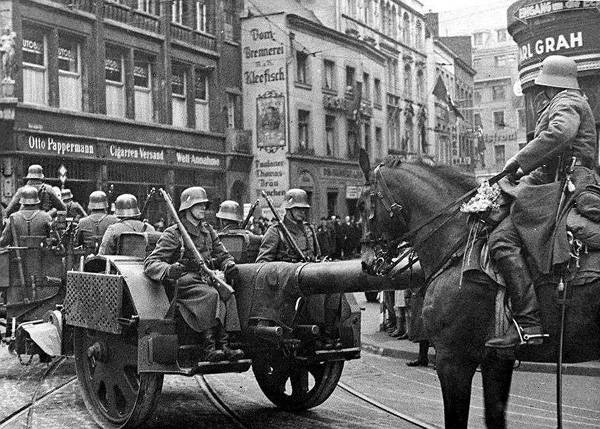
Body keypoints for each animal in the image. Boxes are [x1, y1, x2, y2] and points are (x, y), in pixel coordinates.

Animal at [356, 152, 600, 426]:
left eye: (363, 205)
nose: (366, 262)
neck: (457, 243)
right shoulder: (495, 361)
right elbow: (494, 416)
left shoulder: (453, 359)